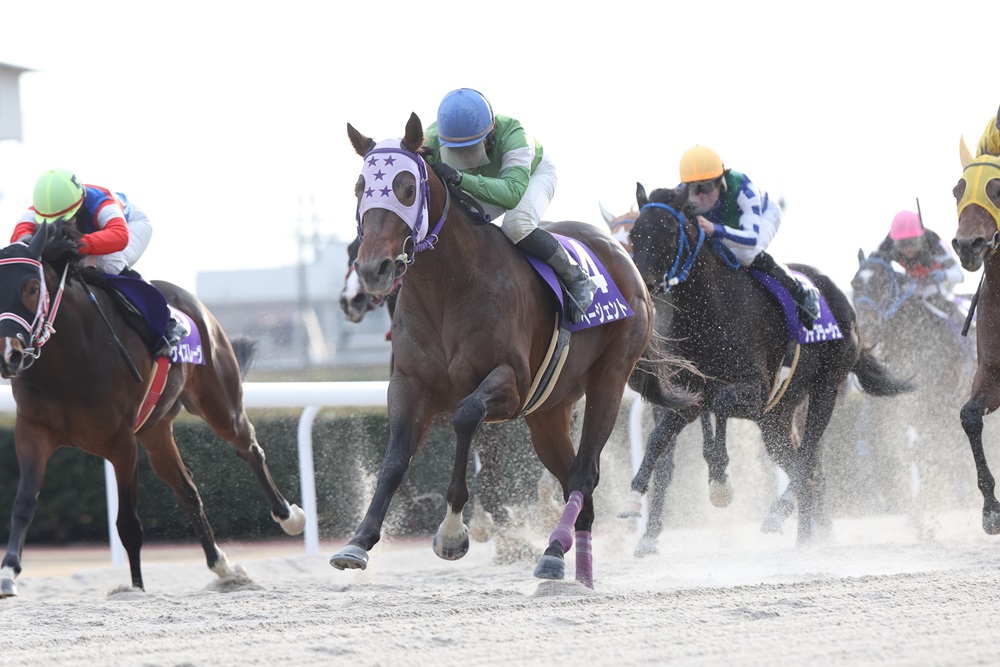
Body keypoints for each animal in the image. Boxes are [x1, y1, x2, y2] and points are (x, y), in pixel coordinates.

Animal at [0, 222, 305, 597]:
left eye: (31, 288)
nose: (10, 355)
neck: (68, 361)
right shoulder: (33, 433)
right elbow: (23, 504)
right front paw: (9, 572)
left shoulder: (122, 444)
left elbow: (129, 524)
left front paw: (136, 589)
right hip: (155, 431)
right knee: (188, 491)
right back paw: (222, 566)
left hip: (219, 403)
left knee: (248, 447)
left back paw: (289, 517)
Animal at [328, 113, 694, 588]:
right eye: (359, 187)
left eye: (407, 188)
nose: (373, 271)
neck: (448, 289)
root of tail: (623, 254)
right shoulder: (410, 386)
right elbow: (394, 460)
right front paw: (359, 542)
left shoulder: (511, 384)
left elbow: (467, 418)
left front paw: (454, 533)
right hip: (548, 412)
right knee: (572, 479)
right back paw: (575, 568)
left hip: (609, 379)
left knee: (584, 473)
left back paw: (553, 549)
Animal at [621, 183, 912, 546]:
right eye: (634, 233)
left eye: (671, 231)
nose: (643, 284)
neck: (710, 310)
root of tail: (847, 306)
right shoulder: (690, 393)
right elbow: (659, 436)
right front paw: (634, 498)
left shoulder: (755, 390)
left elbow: (719, 403)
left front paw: (719, 478)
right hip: (777, 418)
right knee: (803, 468)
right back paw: (805, 538)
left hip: (826, 389)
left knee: (807, 460)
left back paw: (786, 518)